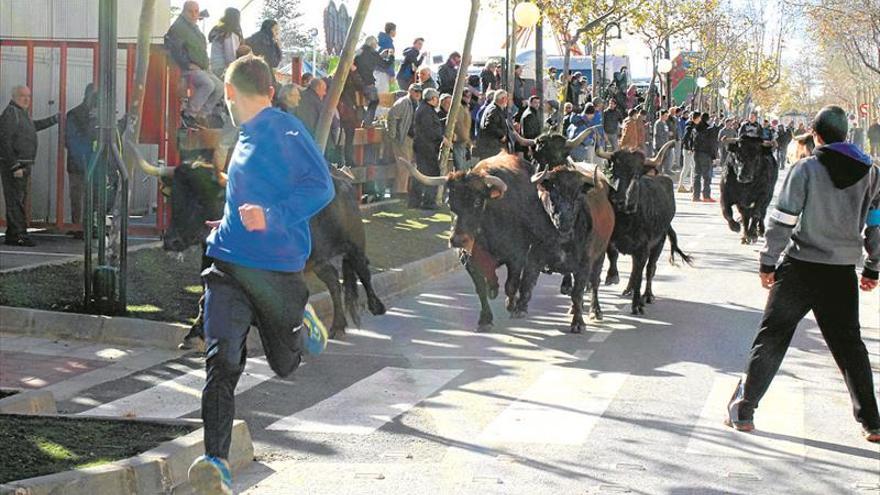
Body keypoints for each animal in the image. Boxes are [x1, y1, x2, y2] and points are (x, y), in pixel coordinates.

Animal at [132, 147, 386, 340]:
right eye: (173, 197)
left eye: (201, 199)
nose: (171, 240)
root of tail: (344, 184)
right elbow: (206, 291)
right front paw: (196, 331)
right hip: (318, 259)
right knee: (334, 280)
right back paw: (338, 326)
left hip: (354, 244)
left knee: (363, 269)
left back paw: (376, 307)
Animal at [592, 141, 696, 316]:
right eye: (614, 171)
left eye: (635, 174)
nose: (618, 200)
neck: (627, 219)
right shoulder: (609, 239)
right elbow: (613, 255)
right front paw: (612, 276)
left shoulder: (643, 249)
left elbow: (641, 274)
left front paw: (636, 305)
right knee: (635, 270)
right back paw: (628, 289)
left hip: (659, 243)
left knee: (649, 269)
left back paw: (647, 295)